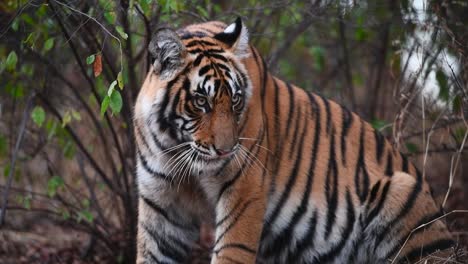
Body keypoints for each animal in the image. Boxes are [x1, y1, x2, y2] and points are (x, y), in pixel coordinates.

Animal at [133, 17, 456, 262]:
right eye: (201, 102)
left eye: (235, 100)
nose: (225, 151)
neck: (176, 147)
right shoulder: (160, 202)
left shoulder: (244, 188)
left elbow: (231, 250)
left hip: (401, 187)